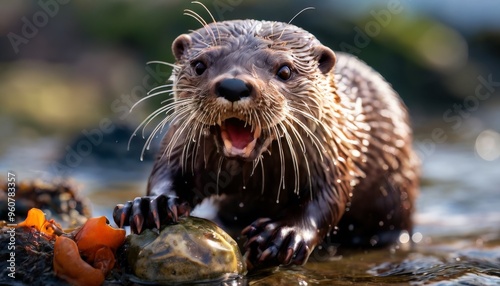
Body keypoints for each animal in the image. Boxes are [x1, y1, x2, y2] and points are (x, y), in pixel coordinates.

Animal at [115, 19, 420, 268]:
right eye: (199, 65)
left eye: (285, 70)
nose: (234, 86)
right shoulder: (182, 143)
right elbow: (168, 171)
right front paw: (152, 204)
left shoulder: (334, 155)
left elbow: (327, 200)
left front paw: (282, 235)